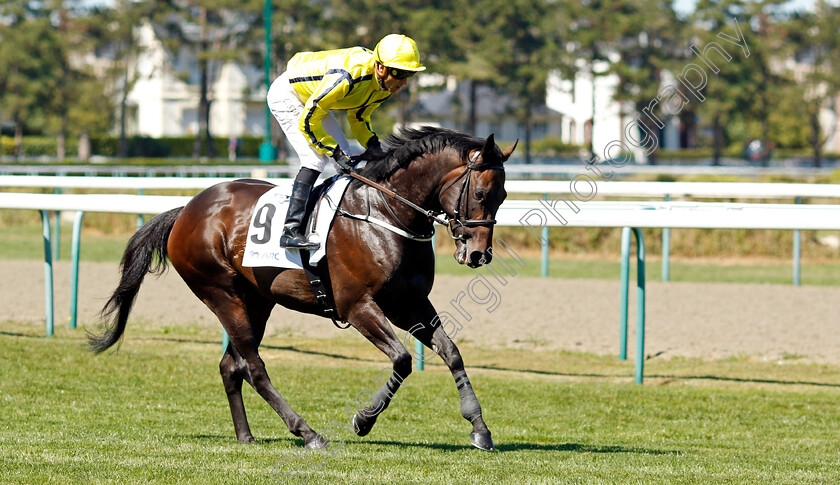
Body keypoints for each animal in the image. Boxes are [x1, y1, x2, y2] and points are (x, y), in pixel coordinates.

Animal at [88, 125, 516, 450]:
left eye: (504, 196)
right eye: (480, 193)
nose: (479, 254)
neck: (386, 213)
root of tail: (186, 211)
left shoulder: (409, 303)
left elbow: (452, 353)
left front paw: (480, 429)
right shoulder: (357, 306)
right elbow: (401, 360)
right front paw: (363, 419)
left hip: (256, 301)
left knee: (231, 365)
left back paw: (245, 435)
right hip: (221, 293)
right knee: (254, 367)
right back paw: (308, 433)